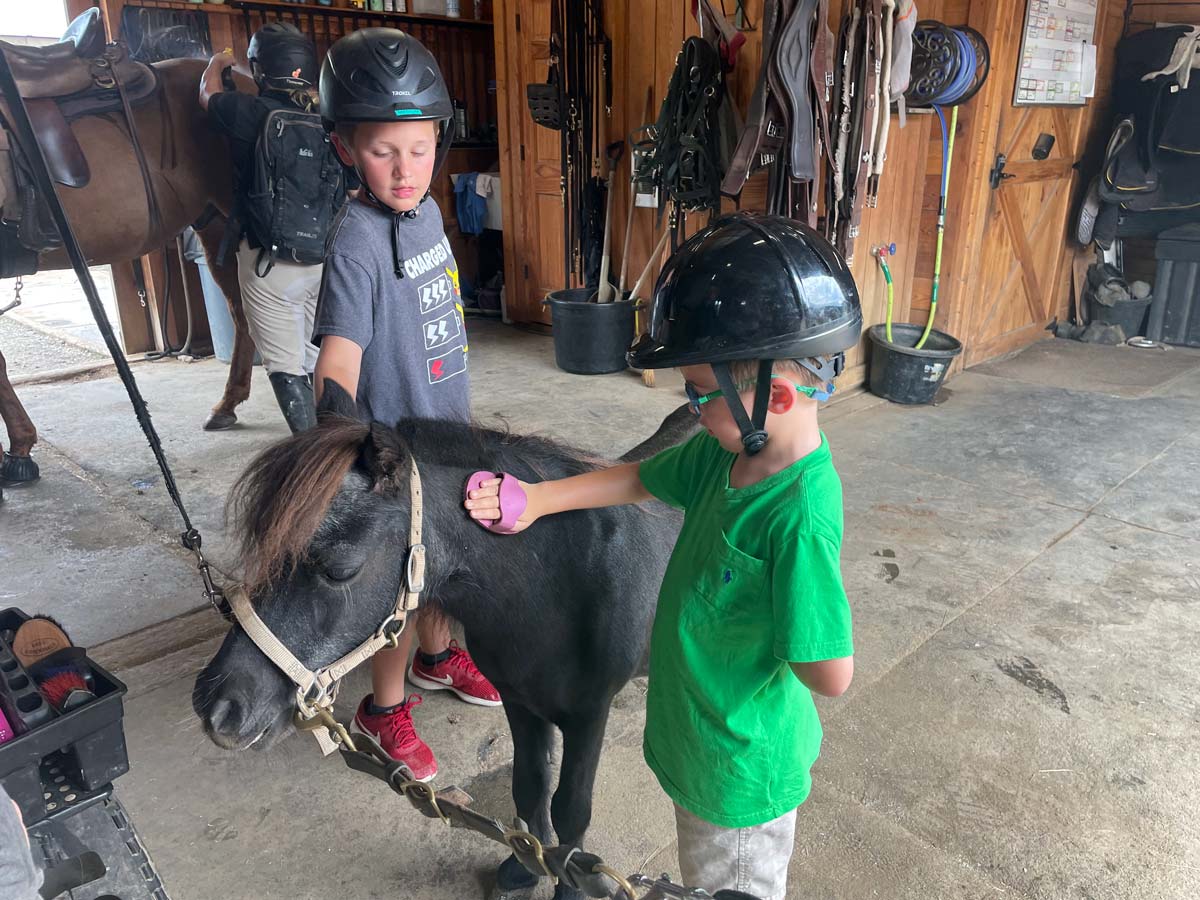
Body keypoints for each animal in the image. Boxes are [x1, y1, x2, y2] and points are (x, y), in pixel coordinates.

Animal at [192, 388, 691, 900]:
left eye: (340, 570)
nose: (218, 707)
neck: (556, 578)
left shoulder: (589, 715)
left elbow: (572, 810)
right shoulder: (520, 700)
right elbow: (529, 786)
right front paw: (525, 869)